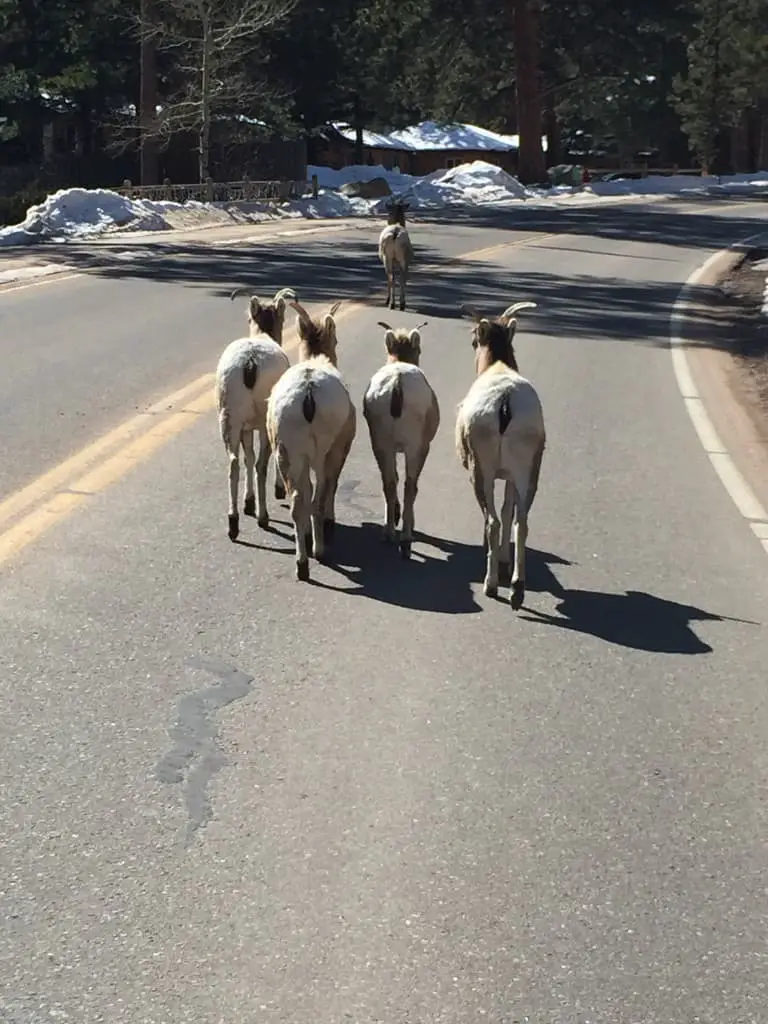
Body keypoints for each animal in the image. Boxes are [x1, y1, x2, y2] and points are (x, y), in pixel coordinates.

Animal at [219, 284, 296, 540]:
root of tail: (250, 363)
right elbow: (256, 461)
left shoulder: (245, 428)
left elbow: (248, 458)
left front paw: (248, 503)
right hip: (263, 423)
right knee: (261, 465)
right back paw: (263, 518)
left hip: (229, 420)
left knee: (234, 464)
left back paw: (233, 523)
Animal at [266, 299, 356, 581]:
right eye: (335, 339)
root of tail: (307, 394)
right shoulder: (338, 451)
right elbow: (331, 487)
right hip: (322, 454)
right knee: (318, 497)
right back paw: (319, 552)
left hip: (288, 453)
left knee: (297, 502)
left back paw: (302, 564)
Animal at [362, 319, 438, 561]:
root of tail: (397, 384)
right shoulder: (420, 448)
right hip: (414, 447)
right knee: (409, 485)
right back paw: (405, 539)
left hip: (380, 444)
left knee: (388, 482)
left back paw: (388, 533)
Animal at [456, 301, 548, 606]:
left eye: (475, 339)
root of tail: (505, 403)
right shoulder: (509, 477)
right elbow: (509, 511)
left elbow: (497, 516)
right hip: (528, 473)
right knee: (522, 523)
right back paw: (517, 589)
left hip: (481, 473)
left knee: (493, 522)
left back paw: (492, 585)